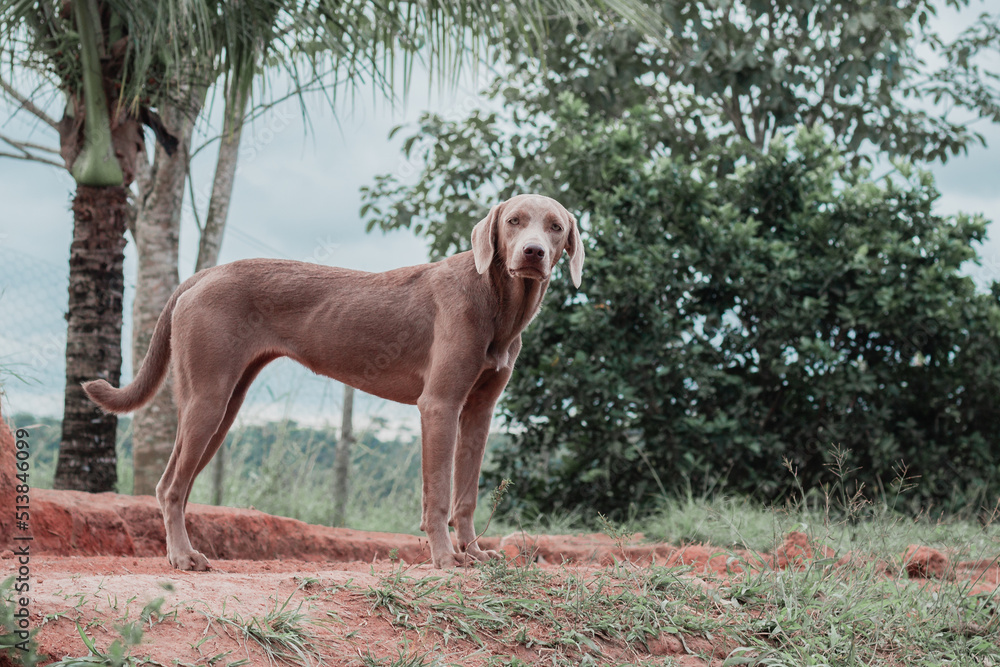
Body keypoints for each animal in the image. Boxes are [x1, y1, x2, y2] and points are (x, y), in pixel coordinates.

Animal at [88, 192, 584, 568]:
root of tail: (206, 273)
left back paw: (183, 550)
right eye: (514, 221)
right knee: (171, 485)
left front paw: (475, 553)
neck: (496, 302)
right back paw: (182, 557)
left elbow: (466, 495)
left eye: (555, 227)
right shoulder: (439, 405)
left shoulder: (478, 413)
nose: (533, 253)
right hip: (208, 399)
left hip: (224, 406)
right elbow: (439, 495)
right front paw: (445, 558)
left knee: (177, 483)